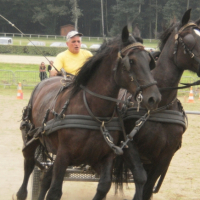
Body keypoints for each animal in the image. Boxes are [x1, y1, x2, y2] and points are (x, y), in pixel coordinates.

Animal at [14, 26, 161, 200]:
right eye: (131, 61)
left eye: (149, 61)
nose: (154, 98)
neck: (95, 113)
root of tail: (44, 82)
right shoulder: (63, 155)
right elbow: (55, 191)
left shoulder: (105, 157)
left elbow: (103, 187)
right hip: (32, 137)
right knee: (29, 163)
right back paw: (21, 192)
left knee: (46, 178)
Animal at [115, 9, 200, 200]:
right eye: (191, 40)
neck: (159, 106)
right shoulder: (129, 146)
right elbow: (140, 182)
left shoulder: (164, 157)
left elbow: (147, 188)